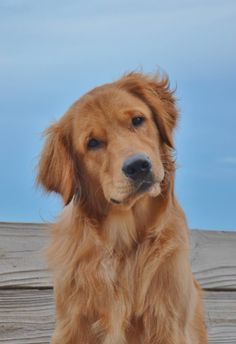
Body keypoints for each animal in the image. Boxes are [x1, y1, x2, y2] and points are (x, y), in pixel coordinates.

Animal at [36, 71, 206, 342]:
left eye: (138, 120)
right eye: (93, 143)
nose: (138, 166)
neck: (123, 244)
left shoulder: (169, 322)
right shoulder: (72, 324)